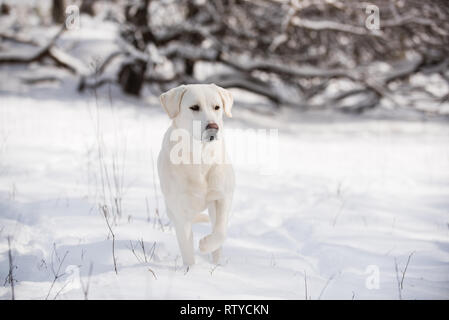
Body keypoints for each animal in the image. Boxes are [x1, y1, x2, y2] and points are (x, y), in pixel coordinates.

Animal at [157, 84, 234, 266]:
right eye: (194, 107)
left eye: (217, 107)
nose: (213, 127)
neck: (200, 157)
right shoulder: (180, 212)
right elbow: (187, 250)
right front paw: (191, 271)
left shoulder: (223, 197)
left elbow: (221, 232)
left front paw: (205, 245)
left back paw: (216, 263)